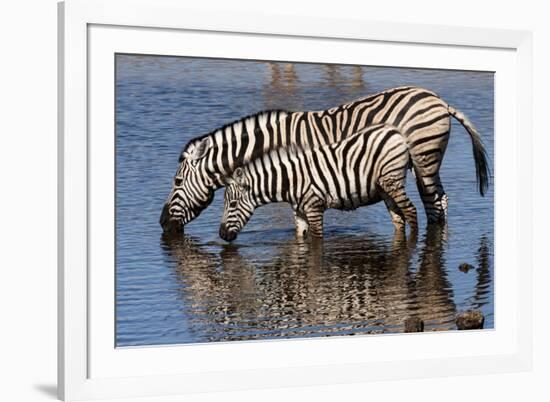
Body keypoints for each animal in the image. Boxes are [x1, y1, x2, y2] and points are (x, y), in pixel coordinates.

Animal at [219, 124, 418, 240]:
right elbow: (301, 238)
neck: (289, 181)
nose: (221, 235)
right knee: (398, 219)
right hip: (385, 188)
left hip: (392, 179)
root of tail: (396, 132)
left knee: (411, 211)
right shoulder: (299, 212)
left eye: (233, 204)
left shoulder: (314, 208)